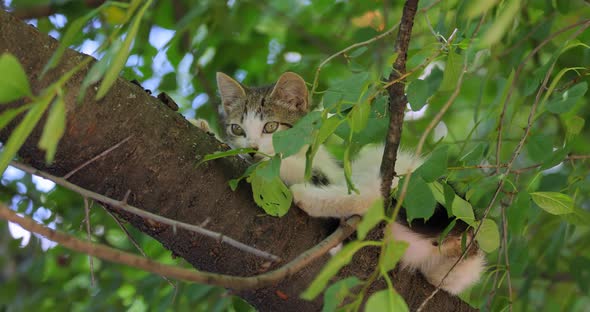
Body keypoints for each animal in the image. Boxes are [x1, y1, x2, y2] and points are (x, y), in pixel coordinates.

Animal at [208, 71, 486, 294]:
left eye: (271, 127)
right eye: (237, 129)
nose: (251, 149)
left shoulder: (326, 171)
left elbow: (279, 166)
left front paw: (255, 159)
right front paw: (208, 129)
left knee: (373, 195)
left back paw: (307, 198)